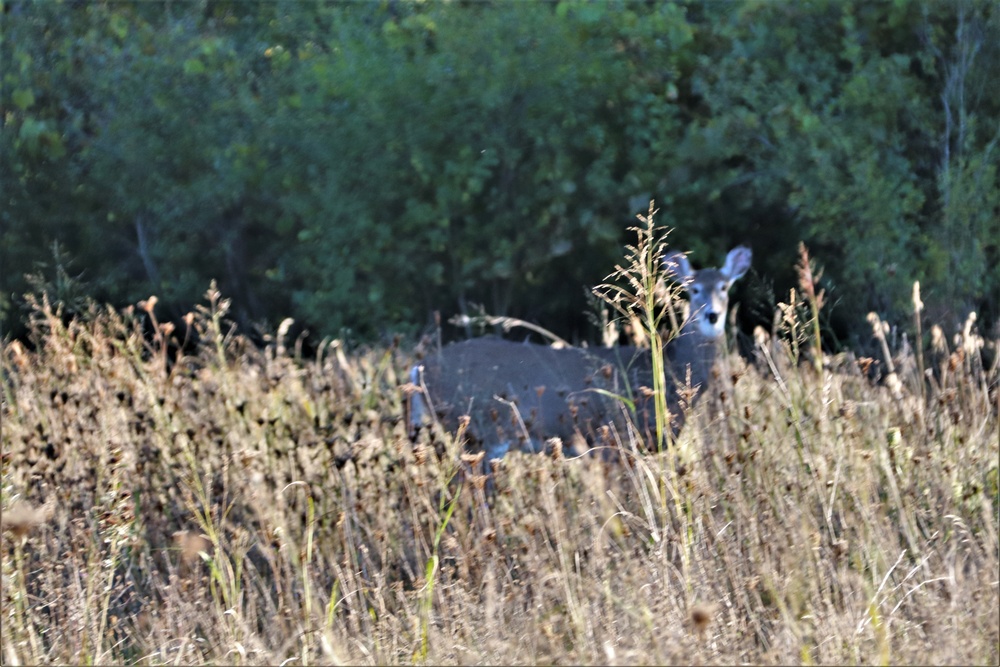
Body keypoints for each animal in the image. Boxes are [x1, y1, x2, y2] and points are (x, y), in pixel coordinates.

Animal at [408, 245, 752, 460]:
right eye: (694, 290)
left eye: (724, 287)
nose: (712, 315)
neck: (669, 371)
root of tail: (419, 369)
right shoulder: (613, 439)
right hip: (479, 430)